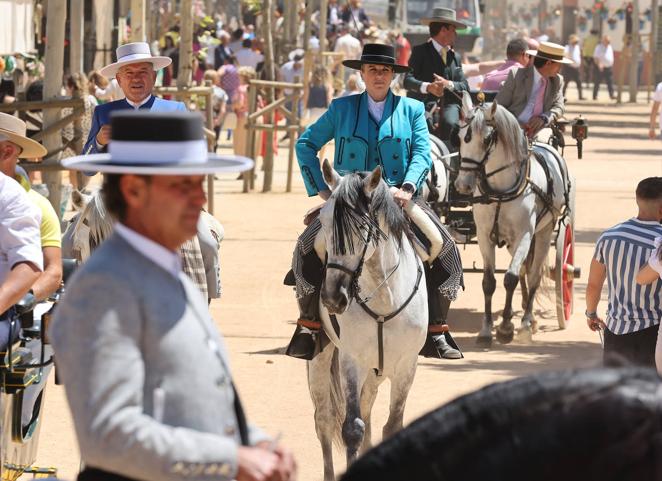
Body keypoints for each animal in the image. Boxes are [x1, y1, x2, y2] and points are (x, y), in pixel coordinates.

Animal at [308, 160, 428, 480]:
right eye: (323, 223)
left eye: (362, 228)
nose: (332, 298)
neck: (385, 296)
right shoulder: (352, 361)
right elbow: (352, 428)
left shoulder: (407, 365)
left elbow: (392, 425)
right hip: (321, 357)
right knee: (324, 419)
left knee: (368, 410)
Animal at [456, 91, 572, 344]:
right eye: (460, 137)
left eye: (487, 139)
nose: (462, 185)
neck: (501, 190)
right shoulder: (484, 236)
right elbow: (489, 282)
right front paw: (487, 329)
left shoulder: (524, 235)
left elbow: (509, 278)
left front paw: (506, 328)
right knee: (524, 272)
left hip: (543, 233)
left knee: (534, 273)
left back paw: (527, 321)